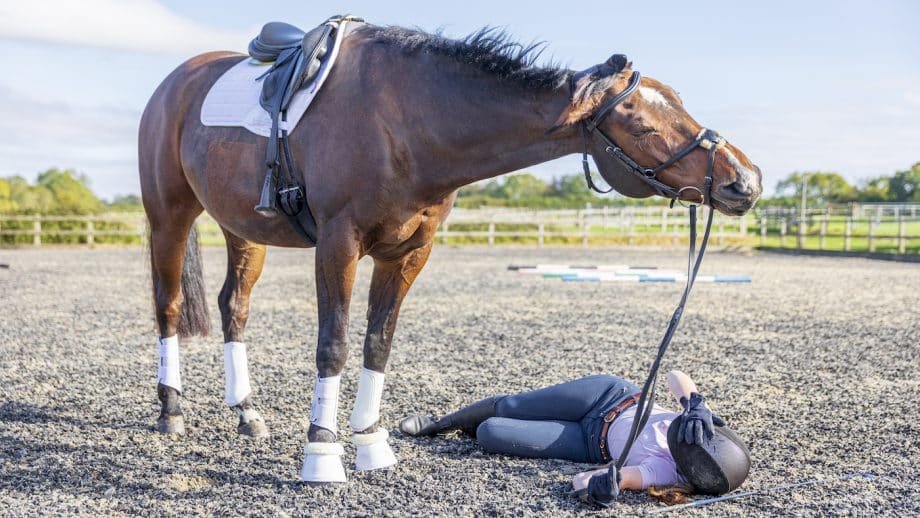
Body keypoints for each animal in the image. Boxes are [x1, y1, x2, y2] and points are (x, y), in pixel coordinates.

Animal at [138, 23, 762, 482]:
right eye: (643, 125)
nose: (746, 180)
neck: (405, 123)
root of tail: (176, 81)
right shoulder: (339, 244)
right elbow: (333, 346)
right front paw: (322, 455)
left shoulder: (409, 253)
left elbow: (378, 342)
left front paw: (370, 445)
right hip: (169, 217)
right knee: (169, 306)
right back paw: (171, 411)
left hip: (243, 228)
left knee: (233, 307)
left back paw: (246, 413)